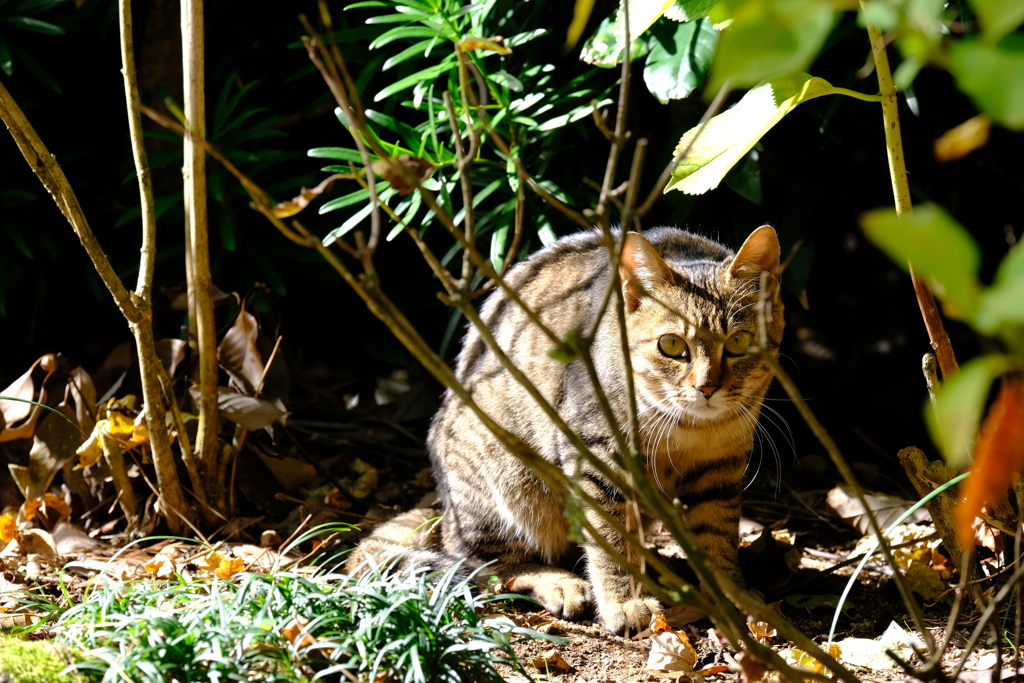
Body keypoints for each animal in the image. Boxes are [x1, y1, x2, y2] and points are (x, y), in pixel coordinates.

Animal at [348, 225, 786, 634]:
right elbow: (611, 543)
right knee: (488, 566)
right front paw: (624, 601)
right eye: (672, 345)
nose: (707, 387)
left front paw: (732, 595)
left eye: (739, 342)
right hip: (504, 480)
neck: (689, 426)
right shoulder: (598, 457)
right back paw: (561, 583)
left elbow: (717, 535)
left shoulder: (720, 467)